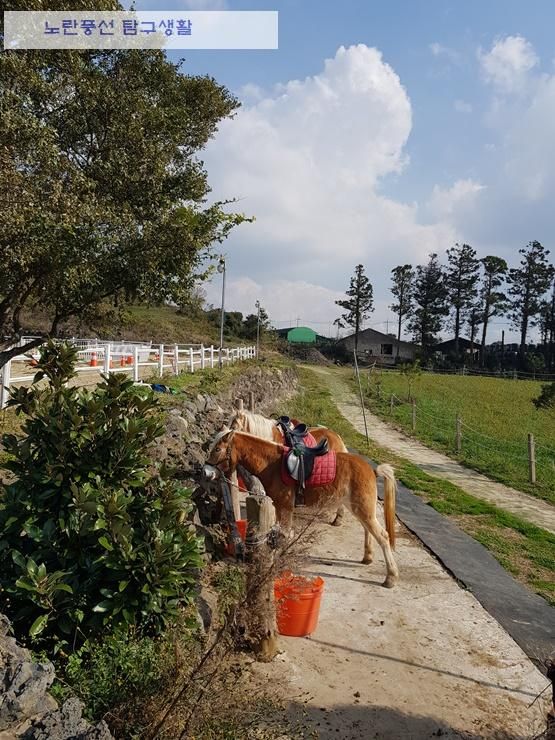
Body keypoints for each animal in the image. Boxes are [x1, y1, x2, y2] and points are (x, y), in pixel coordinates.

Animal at [208, 430, 400, 588]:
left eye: (217, 449)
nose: (207, 472)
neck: (272, 464)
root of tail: (372, 471)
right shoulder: (278, 508)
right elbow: (275, 536)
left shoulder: (285, 508)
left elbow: (283, 536)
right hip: (358, 508)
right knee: (368, 531)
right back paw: (367, 558)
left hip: (363, 509)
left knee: (383, 536)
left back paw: (391, 577)